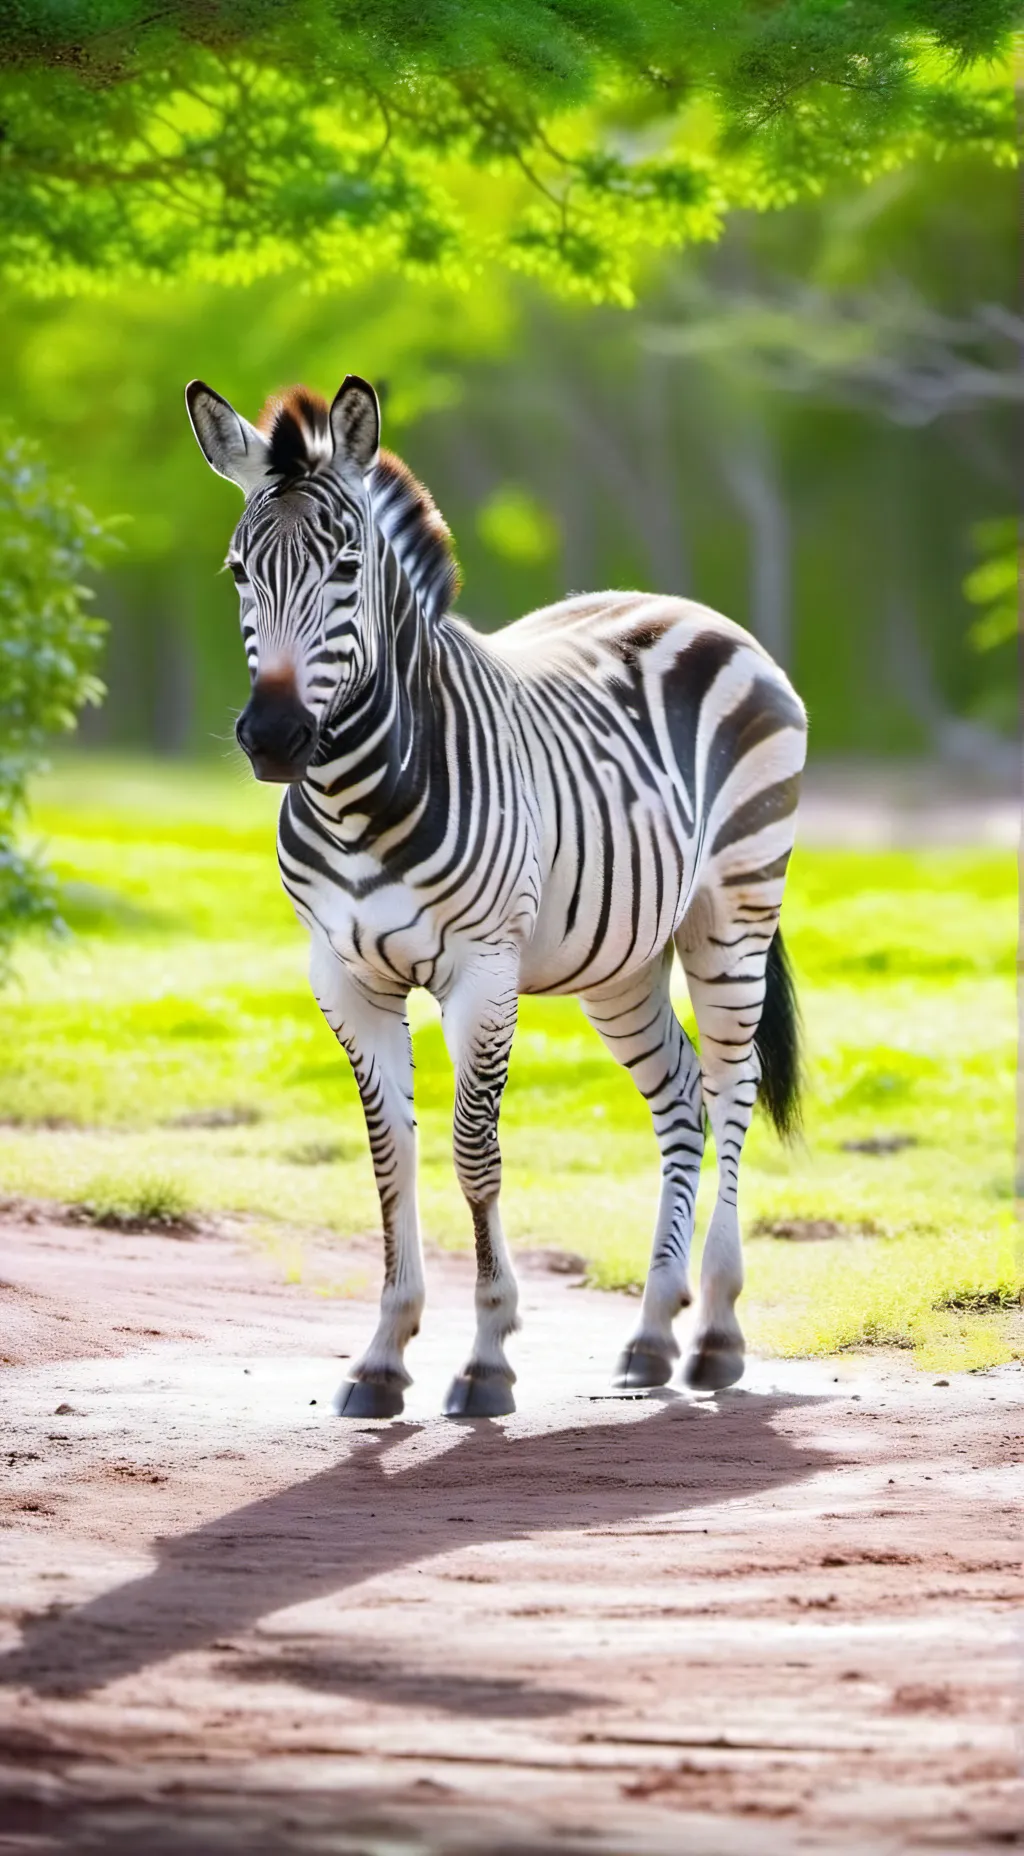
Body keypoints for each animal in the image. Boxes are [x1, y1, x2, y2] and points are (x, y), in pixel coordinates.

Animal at [185, 373, 807, 1419]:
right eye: (237, 572)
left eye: (347, 565)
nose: (272, 738)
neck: (357, 796)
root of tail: (690, 609)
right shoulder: (343, 976)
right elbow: (389, 1157)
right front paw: (382, 1357)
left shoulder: (482, 970)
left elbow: (474, 1152)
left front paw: (485, 1359)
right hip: (622, 961)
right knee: (683, 1095)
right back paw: (650, 1336)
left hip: (733, 914)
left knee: (731, 1085)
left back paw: (717, 1332)